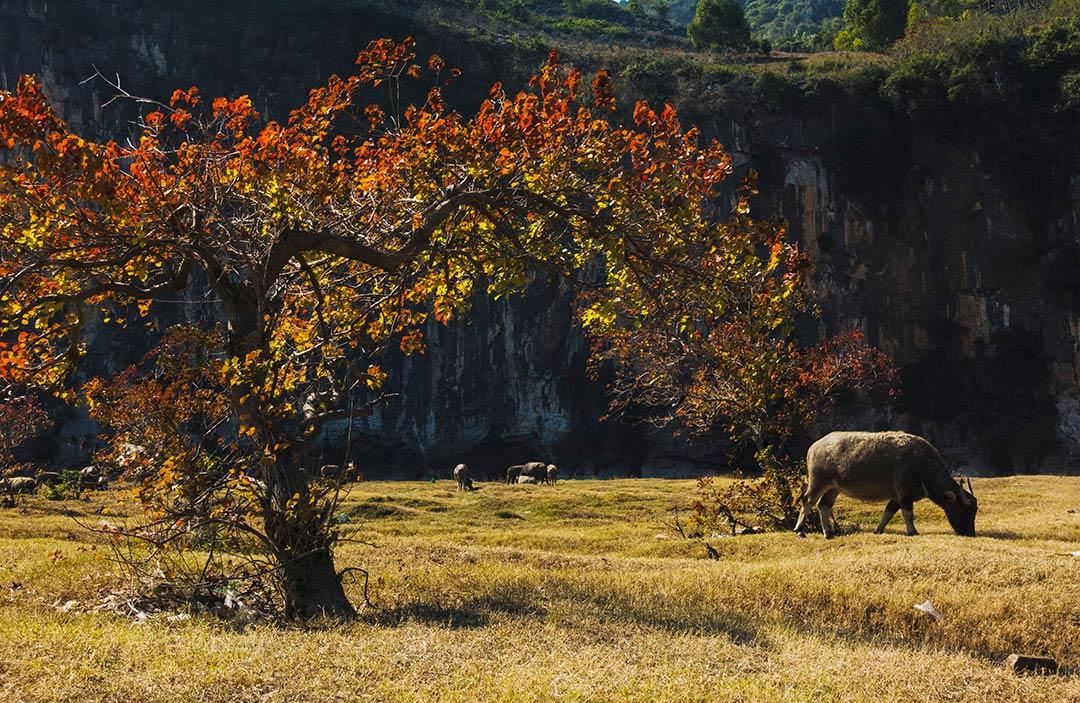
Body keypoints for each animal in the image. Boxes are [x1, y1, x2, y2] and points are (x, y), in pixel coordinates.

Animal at [794, 429, 980, 539]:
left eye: (974, 511)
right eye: (967, 511)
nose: (970, 533)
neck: (921, 465)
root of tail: (814, 447)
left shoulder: (897, 496)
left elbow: (889, 511)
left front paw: (879, 529)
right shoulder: (904, 493)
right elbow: (907, 513)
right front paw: (912, 531)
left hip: (833, 488)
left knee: (824, 506)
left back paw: (828, 533)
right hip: (818, 481)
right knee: (808, 500)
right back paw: (800, 530)